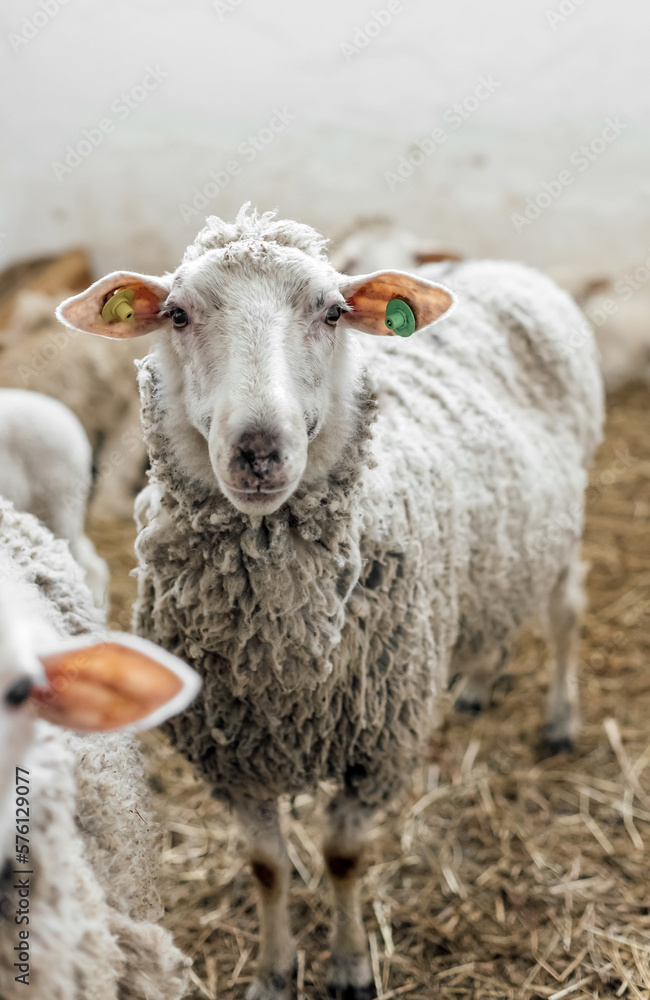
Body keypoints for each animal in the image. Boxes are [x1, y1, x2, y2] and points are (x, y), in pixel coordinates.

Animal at [58, 205, 600, 1000]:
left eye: (334, 312)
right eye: (178, 314)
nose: (259, 448)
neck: (280, 657)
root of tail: (504, 267)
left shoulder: (379, 746)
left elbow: (343, 860)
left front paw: (348, 967)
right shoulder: (233, 759)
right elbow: (267, 868)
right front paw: (274, 972)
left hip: (567, 519)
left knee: (563, 616)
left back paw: (560, 719)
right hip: (501, 547)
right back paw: (475, 682)